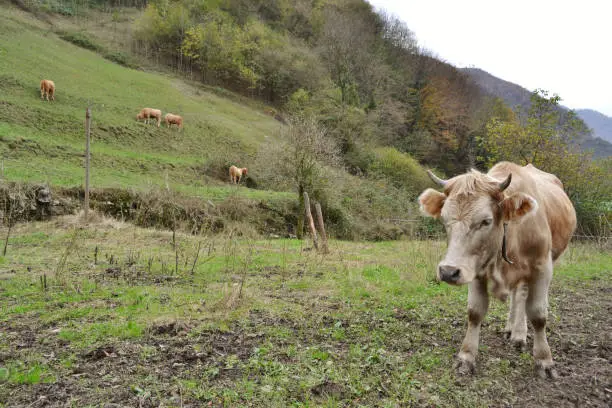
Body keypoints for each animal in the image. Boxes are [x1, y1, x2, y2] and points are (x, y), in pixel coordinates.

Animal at [418, 163, 576, 380]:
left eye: (486, 221)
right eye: (443, 219)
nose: (448, 271)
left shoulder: (542, 268)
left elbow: (538, 315)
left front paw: (544, 361)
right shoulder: (474, 268)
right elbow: (475, 312)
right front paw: (466, 357)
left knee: (522, 296)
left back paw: (519, 334)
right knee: (518, 296)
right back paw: (512, 330)